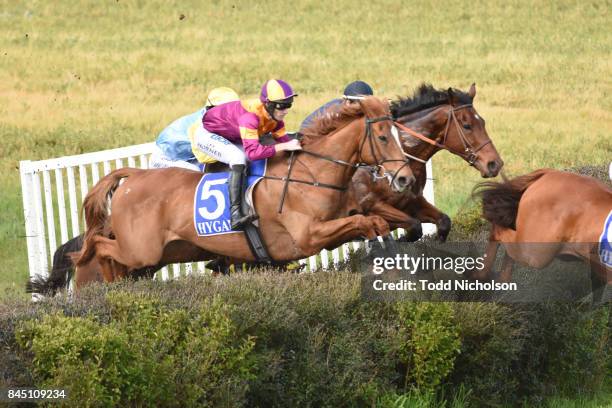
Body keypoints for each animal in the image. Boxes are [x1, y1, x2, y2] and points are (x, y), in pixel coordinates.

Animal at [75, 97, 412, 286]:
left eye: (400, 134)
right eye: (383, 137)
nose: (405, 178)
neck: (311, 174)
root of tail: (135, 175)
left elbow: (374, 221)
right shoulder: (307, 237)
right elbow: (365, 222)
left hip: (165, 252)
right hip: (142, 250)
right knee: (99, 247)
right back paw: (108, 283)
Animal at [346, 84, 504, 241]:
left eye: (482, 122)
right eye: (467, 125)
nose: (494, 164)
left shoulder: (412, 203)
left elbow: (443, 222)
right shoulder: (371, 207)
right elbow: (413, 227)